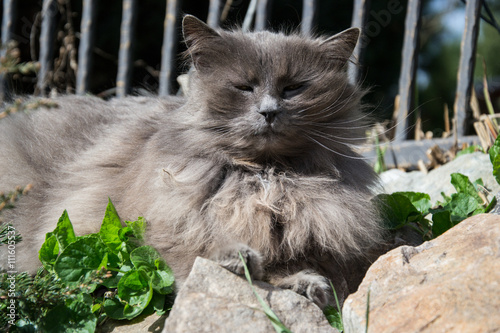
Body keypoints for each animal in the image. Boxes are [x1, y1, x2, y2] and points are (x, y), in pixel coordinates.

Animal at [0, 14, 382, 306]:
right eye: (244, 87)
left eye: (293, 88)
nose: (269, 111)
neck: (264, 176)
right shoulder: (149, 227)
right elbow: (192, 256)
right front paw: (238, 259)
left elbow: (291, 263)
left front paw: (304, 283)